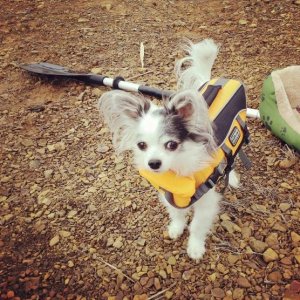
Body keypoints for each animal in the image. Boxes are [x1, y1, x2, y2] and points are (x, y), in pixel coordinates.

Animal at [98, 39, 239, 260]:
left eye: (171, 145)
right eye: (141, 145)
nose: (153, 163)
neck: (177, 168)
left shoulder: (207, 202)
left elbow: (197, 226)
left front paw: (195, 247)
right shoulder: (170, 196)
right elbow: (178, 214)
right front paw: (176, 228)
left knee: (233, 159)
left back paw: (231, 177)